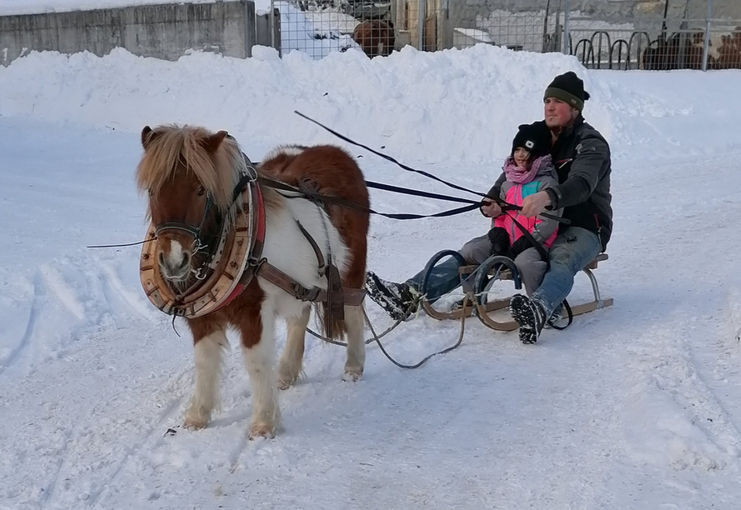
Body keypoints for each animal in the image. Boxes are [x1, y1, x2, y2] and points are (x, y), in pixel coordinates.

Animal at [135, 124, 368, 438]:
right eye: (152, 190)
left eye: (201, 190)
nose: (174, 261)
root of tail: (337, 152)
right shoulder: (202, 318)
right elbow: (204, 361)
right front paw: (198, 416)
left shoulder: (254, 312)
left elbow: (256, 362)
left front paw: (263, 423)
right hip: (302, 282)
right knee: (299, 317)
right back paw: (286, 373)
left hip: (351, 270)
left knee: (354, 310)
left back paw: (353, 366)